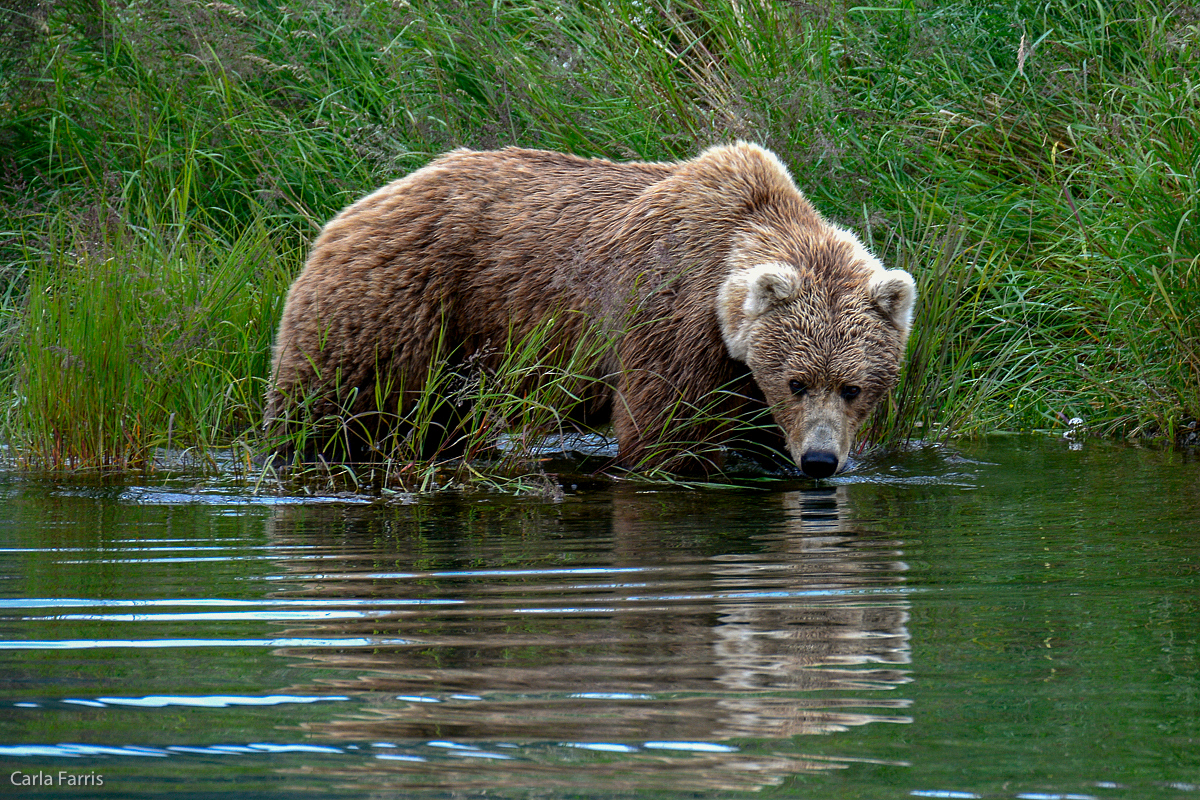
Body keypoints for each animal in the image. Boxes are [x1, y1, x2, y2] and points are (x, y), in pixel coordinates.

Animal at [267, 141, 912, 479]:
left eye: (853, 387)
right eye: (797, 381)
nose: (821, 460)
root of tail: (351, 210)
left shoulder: (739, 369)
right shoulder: (671, 316)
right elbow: (665, 433)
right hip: (402, 304)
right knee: (338, 404)